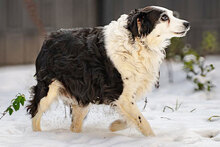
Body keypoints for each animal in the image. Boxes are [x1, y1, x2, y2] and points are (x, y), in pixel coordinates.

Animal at [27, 6, 189, 137]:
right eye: (164, 17)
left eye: (172, 14)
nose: (187, 24)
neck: (136, 41)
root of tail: (49, 38)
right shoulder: (121, 94)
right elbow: (142, 121)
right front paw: (154, 139)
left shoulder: (124, 97)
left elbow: (132, 118)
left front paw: (114, 126)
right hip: (48, 88)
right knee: (35, 113)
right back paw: (37, 135)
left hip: (83, 96)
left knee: (74, 126)